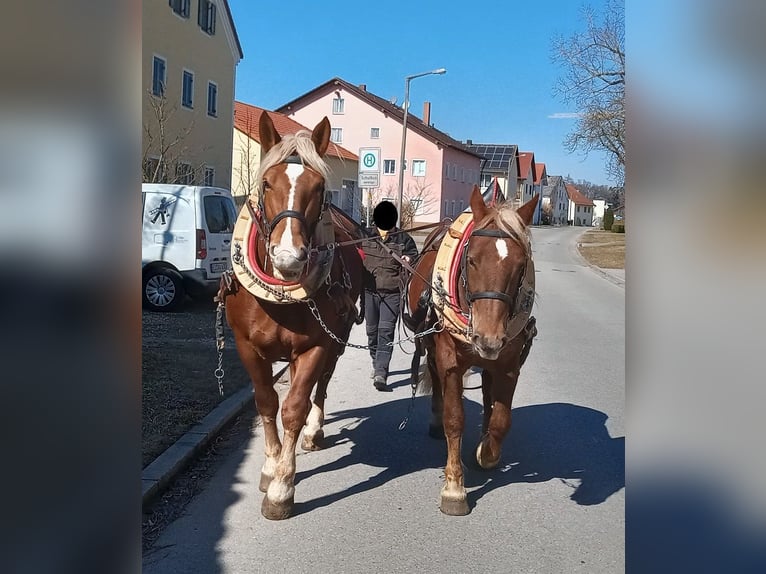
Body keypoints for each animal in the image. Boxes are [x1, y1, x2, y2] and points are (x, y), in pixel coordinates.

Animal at [224, 113, 364, 520]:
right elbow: (267, 402)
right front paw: (270, 468)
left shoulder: (314, 347)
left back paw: (314, 431)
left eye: (318, 188)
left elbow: (294, 408)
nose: (288, 258)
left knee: (323, 383)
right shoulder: (247, 347)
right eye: (267, 183)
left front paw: (282, 488)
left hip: (337, 339)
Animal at [402, 186, 540, 516]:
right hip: (433, 348)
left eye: (521, 266)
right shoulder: (450, 361)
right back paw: (436, 419)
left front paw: (487, 451)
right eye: (473, 259)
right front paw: (454, 487)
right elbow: (455, 420)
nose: (488, 339)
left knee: (489, 394)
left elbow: (502, 419)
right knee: (437, 380)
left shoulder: (508, 365)